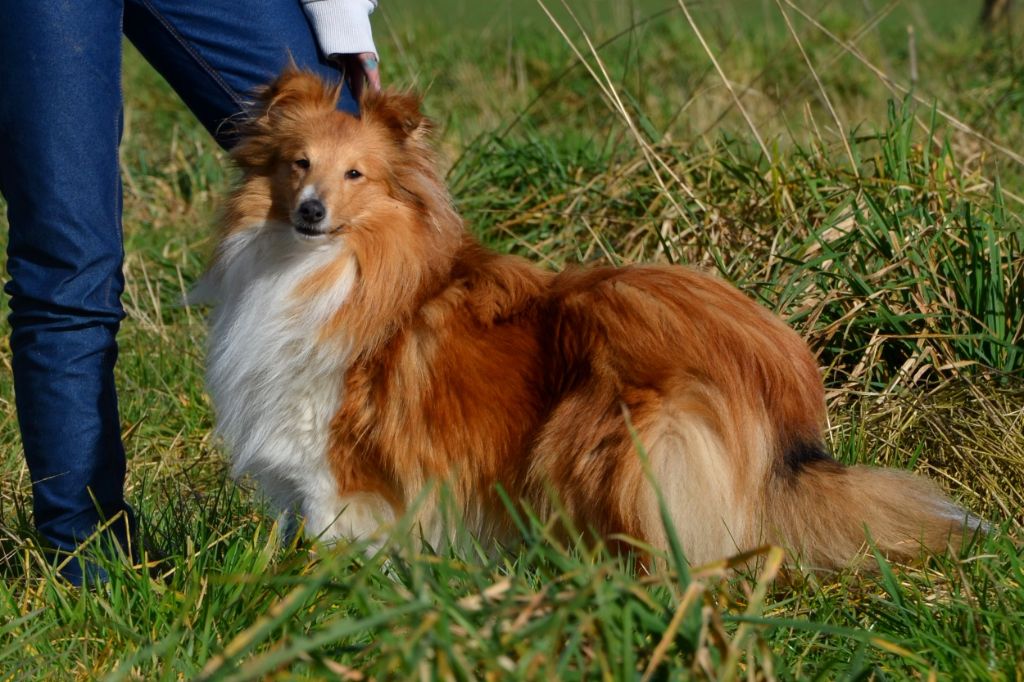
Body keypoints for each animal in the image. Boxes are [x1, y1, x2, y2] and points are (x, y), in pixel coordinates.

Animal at [197, 69, 974, 569]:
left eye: (356, 174)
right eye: (298, 163)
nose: (310, 212)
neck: (336, 268)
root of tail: (775, 365)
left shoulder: (335, 462)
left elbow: (334, 537)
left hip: (617, 445)